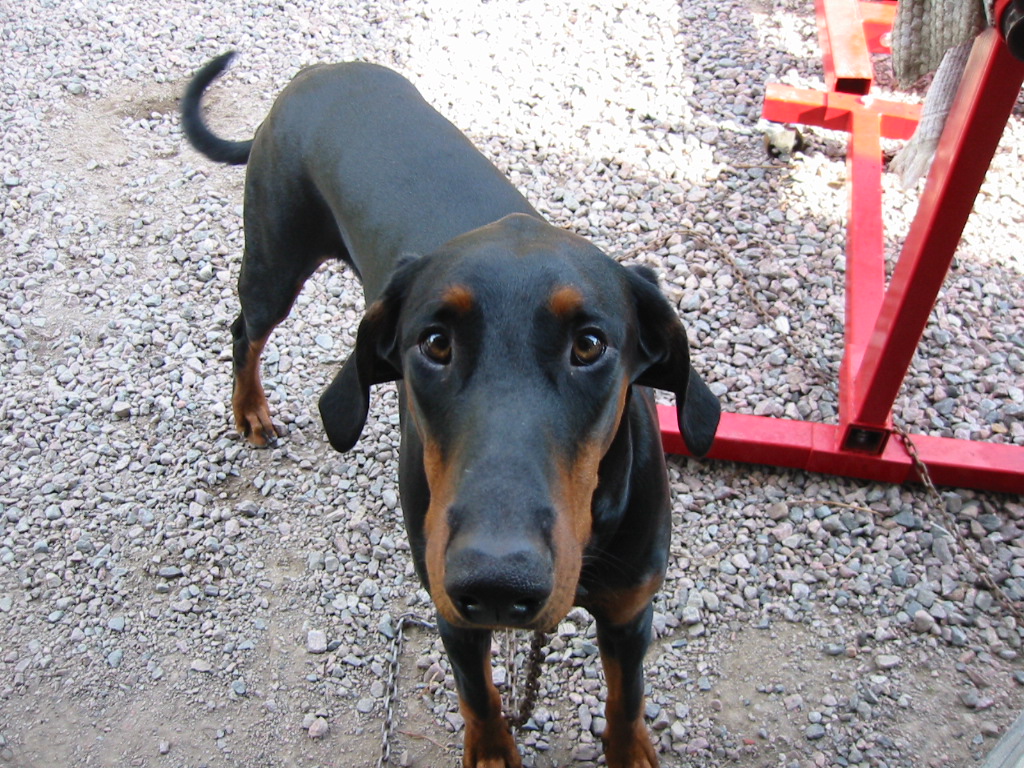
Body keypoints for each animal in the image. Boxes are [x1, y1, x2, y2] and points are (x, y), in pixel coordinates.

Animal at [181, 52, 720, 768]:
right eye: (435, 343)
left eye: (589, 345)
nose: (498, 580)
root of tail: (310, 75)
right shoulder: (449, 609)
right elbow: (478, 695)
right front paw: (492, 750)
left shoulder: (631, 609)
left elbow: (626, 698)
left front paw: (630, 751)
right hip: (276, 257)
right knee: (245, 328)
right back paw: (249, 410)